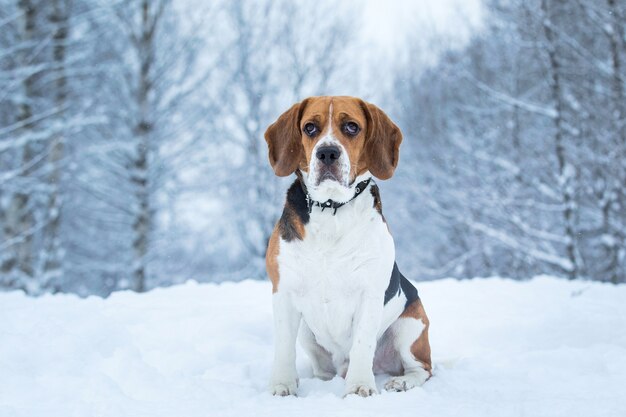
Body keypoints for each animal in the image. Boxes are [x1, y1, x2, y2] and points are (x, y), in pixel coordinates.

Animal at [262, 95, 428, 396]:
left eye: (351, 126)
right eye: (309, 128)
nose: (327, 153)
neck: (331, 208)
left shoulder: (369, 294)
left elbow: (363, 345)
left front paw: (360, 386)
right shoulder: (284, 291)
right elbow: (283, 347)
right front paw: (282, 384)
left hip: (410, 327)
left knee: (423, 369)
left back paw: (402, 381)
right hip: (307, 333)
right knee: (322, 367)